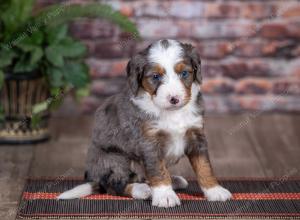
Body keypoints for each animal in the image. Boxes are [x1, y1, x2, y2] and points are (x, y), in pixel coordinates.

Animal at [58, 39, 232, 208]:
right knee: (115, 185)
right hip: (115, 159)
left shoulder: (196, 134)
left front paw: (214, 190)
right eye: (155, 77)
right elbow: (158, 171)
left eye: (184, 73)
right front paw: (165, 196)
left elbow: (204, 166)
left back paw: (174, 180)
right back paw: (142, 190)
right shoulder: (149, 141)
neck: (172, 113)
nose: (174, 99)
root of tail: (94, 178)